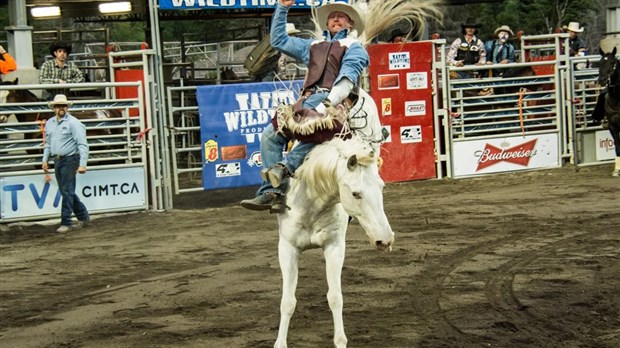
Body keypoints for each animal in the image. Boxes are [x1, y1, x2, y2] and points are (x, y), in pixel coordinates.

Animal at [274, 134, 394, 348]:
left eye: (382, 186)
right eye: (355, 193)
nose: (386, 240)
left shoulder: (335, 247)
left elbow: (335, 297)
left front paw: (340, 341)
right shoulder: (287, 248)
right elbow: (287, 301)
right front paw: (280, 343)